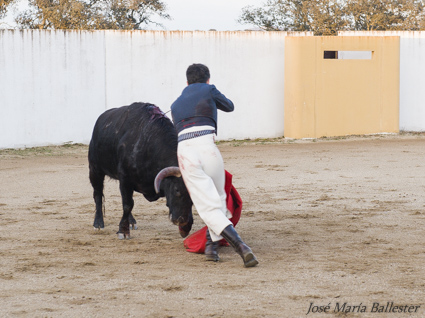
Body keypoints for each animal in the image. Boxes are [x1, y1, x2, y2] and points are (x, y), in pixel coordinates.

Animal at [88, 102, 193, 238]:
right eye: (177, 190)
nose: (182, 220)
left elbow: (128, 203)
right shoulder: (125, 178)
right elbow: (127, 205)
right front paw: (123, 231)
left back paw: (131, 221)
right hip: (95, 170)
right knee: (98, 195)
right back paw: (98, 224)